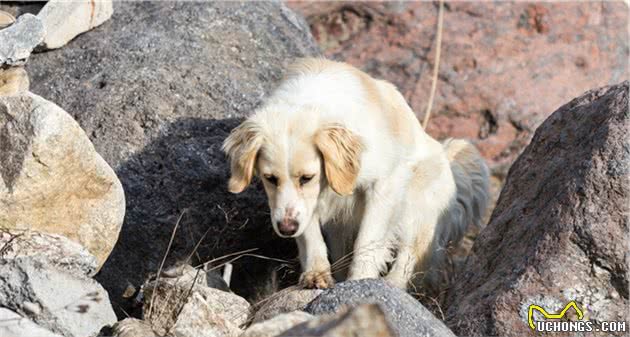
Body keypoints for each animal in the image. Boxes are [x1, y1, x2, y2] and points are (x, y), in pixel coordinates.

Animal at [225, 57, 492, 288]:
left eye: (307, 178)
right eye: (270, 178)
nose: (286, 229)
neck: (309, 103)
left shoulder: (384, 185)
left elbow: (368, 239)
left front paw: (359, 282)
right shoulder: (306, 206)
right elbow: (310, 235)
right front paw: (316, 274)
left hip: (416, 205)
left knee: (411, 254)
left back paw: (392, 284)